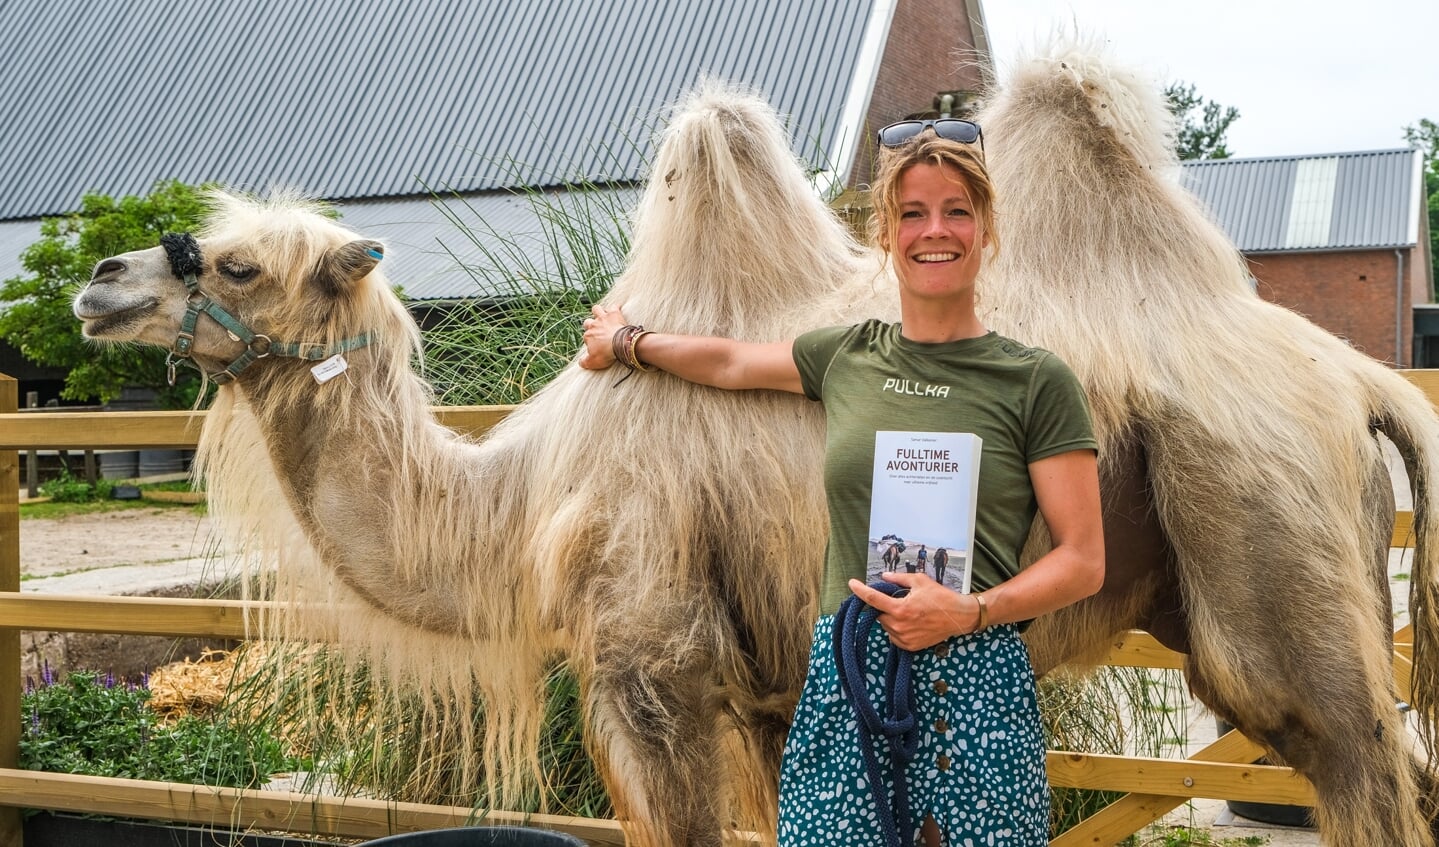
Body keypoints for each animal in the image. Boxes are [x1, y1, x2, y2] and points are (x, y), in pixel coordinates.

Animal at [70, 46, 1439, 845]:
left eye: (238, 264)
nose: (98, 281)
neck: (518, 497)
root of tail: (1364, 376)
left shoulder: (653, 670)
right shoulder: (779, 687)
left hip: (1263, 544)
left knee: (1358, 764)